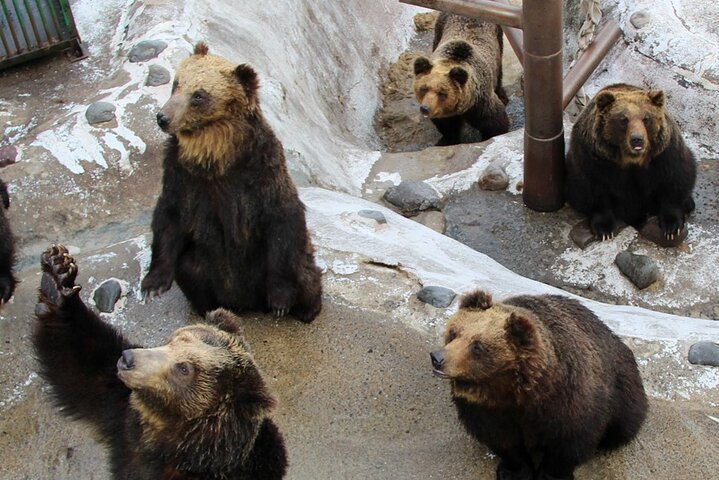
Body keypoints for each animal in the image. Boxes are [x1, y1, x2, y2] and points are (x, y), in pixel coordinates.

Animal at [33, 245, 288, 480]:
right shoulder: (122, 417)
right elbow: (81, 361)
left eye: (184, 369)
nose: (128, 358)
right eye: (173, 339)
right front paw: (57, 275)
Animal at [142, 42, 322, 323]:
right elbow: (169, 216)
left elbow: (282, 216)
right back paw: (208, 308)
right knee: (190, 269)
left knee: (303, 271)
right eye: (177, 83)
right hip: (207, 267)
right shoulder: (180, 174)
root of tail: (248, 303)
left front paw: (281, 301)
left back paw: (306, 309)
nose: (163, 117)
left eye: (199, 95)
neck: (216, 155)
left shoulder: (262, 169)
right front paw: (153, 285)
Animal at [413, 12, 509, 146]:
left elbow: (496, 123)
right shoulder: (443, 112)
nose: (425, 108)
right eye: (423, 88)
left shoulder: (481, 104)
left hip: (497, 33)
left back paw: (503, 95)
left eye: (442, 92)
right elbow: (447, 127)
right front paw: (446, 140)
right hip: (439, 27)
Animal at [430, 290, 647, 480]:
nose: (437, 358)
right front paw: (514, 472)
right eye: (454, 333)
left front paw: (552, 474)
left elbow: (569, 441)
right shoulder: (485, 408)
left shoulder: (570, 399)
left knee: (624, 425)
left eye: (477, 346)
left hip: (623, 385)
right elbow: (502, 439)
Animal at [565, 83, 697, 242]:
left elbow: (674, 180)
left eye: (646, 118)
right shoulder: (593, 159)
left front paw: (672, 227)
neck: (631, 159)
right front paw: (604, 229)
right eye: (624, 119)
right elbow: (593, 190)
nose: (637, 139)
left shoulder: (664, 155)